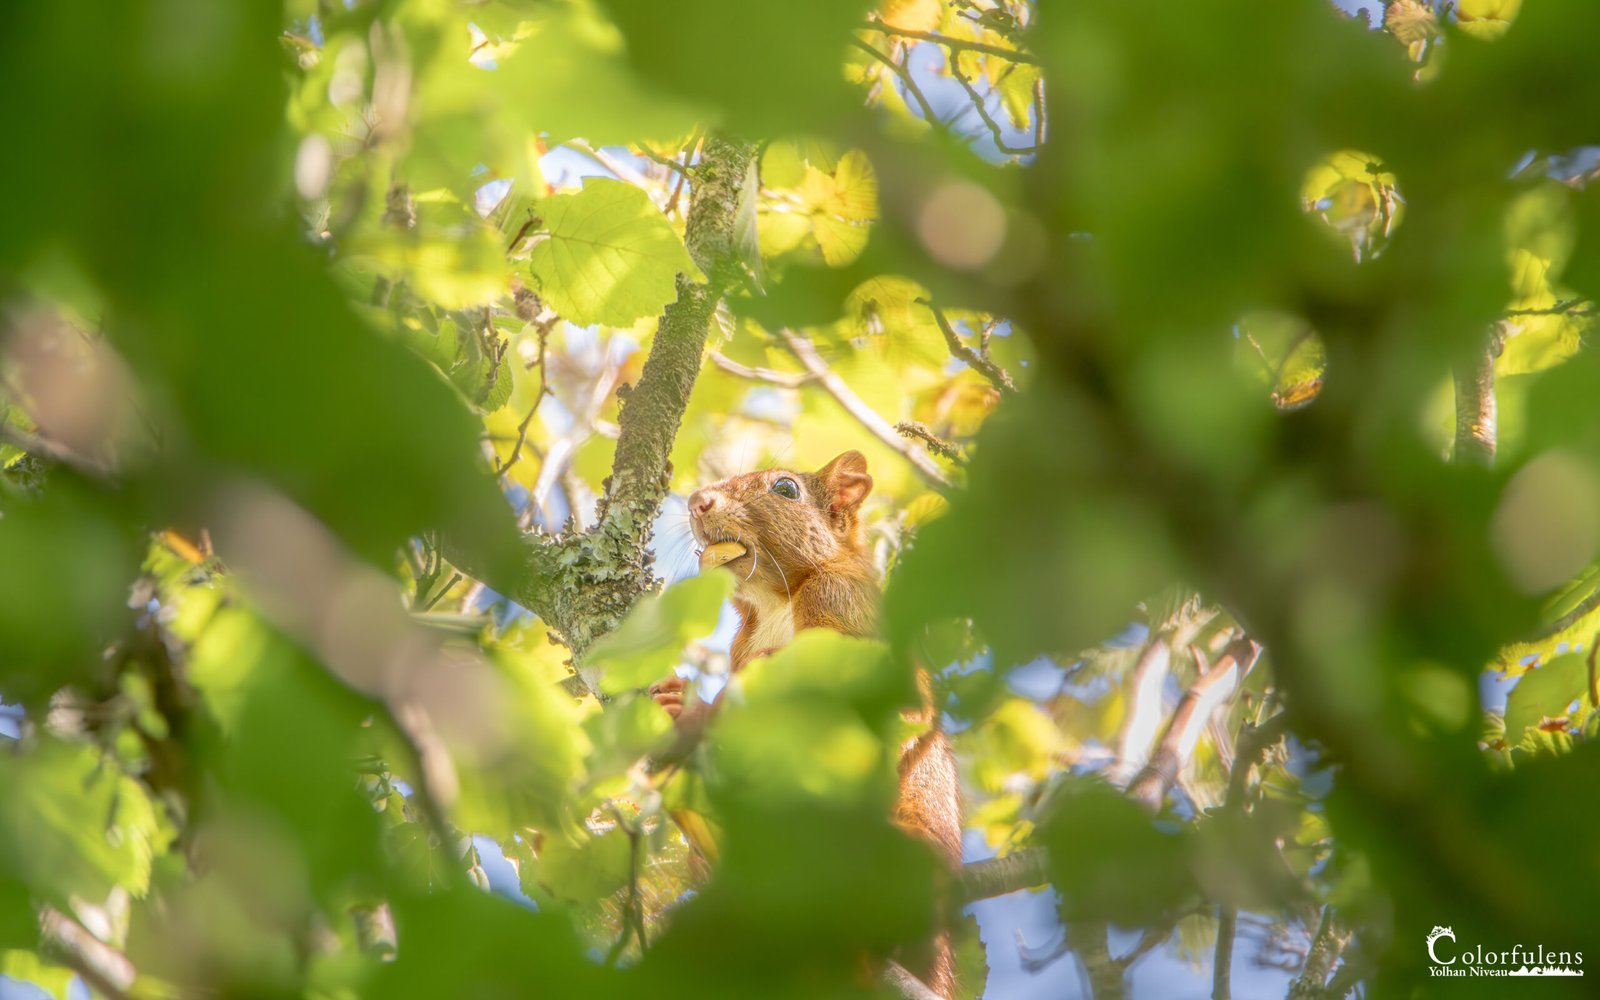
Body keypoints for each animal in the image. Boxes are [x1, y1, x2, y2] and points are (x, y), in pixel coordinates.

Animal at [650, 450, 962, 1000]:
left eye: (785, 488)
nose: (698, 501)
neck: (774, 600)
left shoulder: (844, 608)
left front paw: (697, 710)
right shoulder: (741, 645)